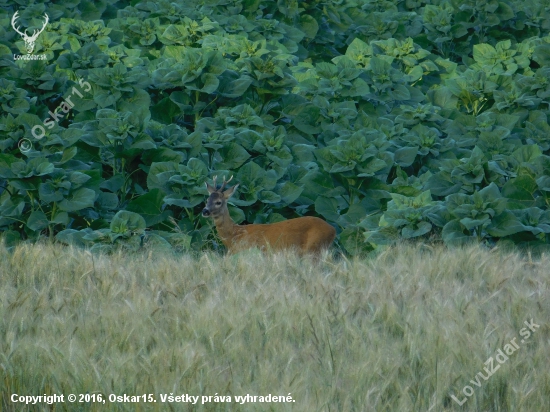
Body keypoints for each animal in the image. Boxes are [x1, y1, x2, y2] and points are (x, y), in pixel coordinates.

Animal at [204, 175, 336, 256]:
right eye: (207, 200)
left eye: (218, 202)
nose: (205, 211)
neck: (235, 236)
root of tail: (333, 229)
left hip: (314, 248)